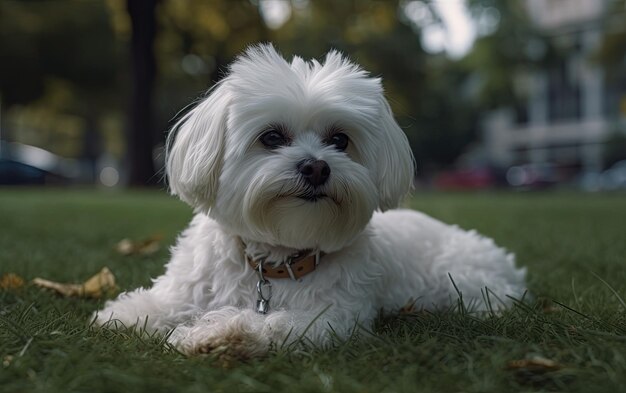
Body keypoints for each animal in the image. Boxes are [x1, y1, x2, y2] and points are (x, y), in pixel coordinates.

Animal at [94, 44, 528, 356]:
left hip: (464, 281)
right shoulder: (191, 286)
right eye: (271, 137)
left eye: (340, 140)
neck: (274, 263)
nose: (317, 167)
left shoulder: (329, 316)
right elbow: (162, 301)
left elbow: (270, 323)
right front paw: (128, 313)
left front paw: (220, 332)